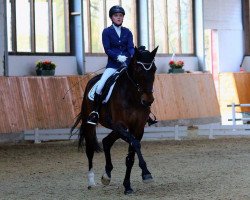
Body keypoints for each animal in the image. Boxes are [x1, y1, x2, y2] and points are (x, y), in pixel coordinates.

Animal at [71, 46, 158, 195]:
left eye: (154, 69)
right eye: (138, 70)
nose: (148, 101)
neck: (132, 96)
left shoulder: (137, 128)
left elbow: (130, 157)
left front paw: (127, 185)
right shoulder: (120, 125)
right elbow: (135, 144)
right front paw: (146, 173)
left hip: (117, 129)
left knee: (106, 142)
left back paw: (107, 175)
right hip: (91, 126)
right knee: (90, 149)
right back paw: (91, 182)